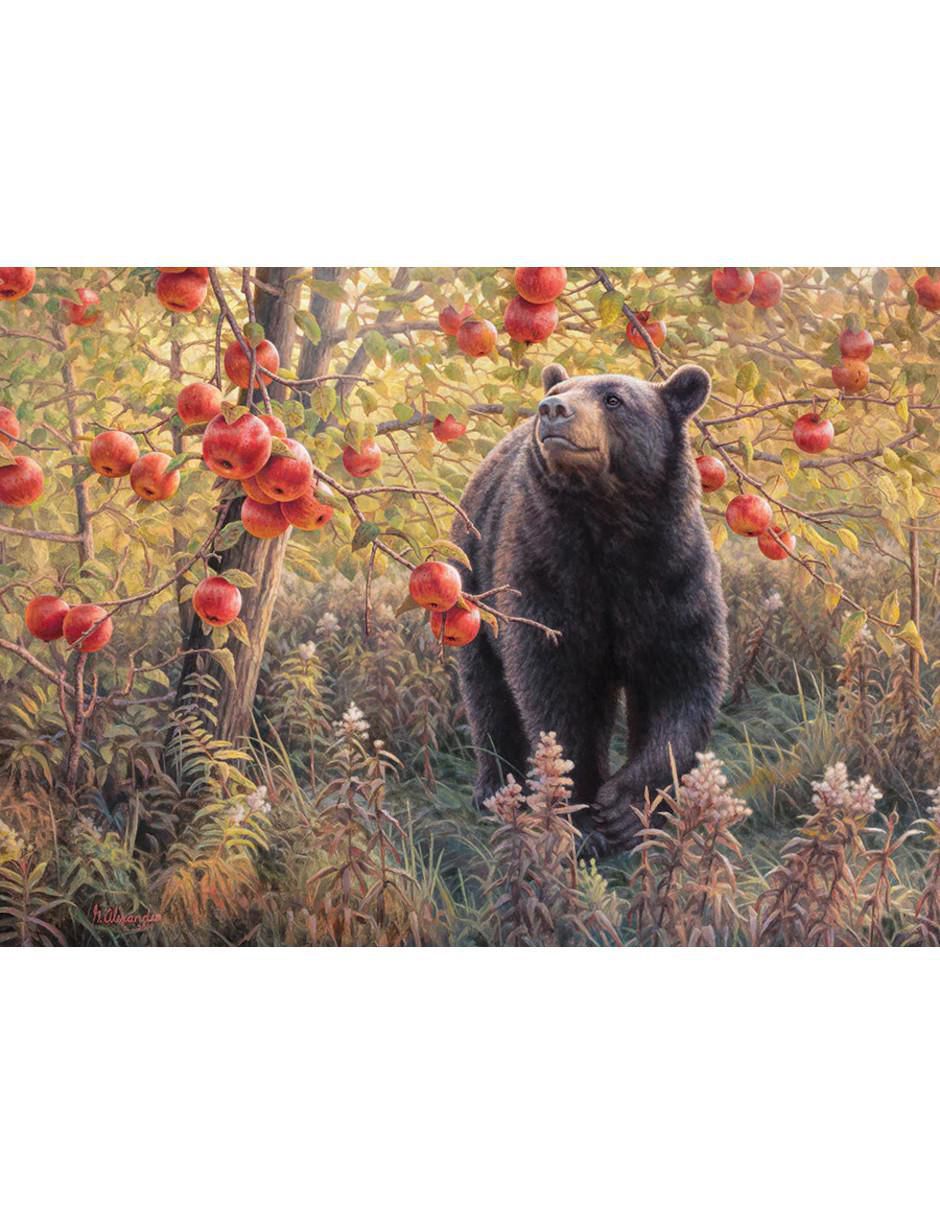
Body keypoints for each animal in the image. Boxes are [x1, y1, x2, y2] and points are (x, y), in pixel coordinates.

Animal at [451, 361, 729, 856]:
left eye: (614, 399)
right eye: (561, 389)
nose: (552, 409)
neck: (608, 518)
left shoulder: (671, 576)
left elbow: (683, 678)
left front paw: (626, 810)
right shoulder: (547, 573)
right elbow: (555, 690)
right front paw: (581, 822)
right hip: (475, 585)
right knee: (487, 688)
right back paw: (495, 789)